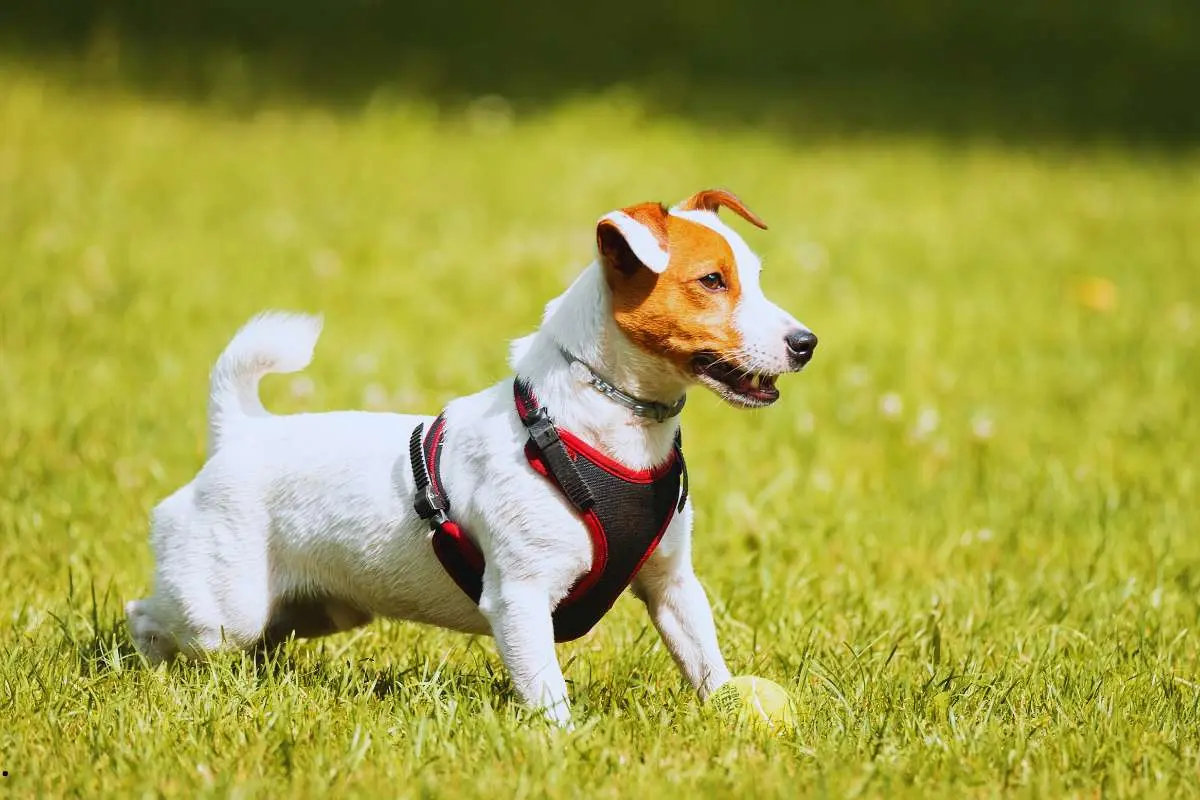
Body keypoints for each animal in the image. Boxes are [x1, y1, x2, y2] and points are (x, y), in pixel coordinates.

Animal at [129, 189, 816, 724]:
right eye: (712, 281)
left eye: (755, 277)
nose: (806, 342)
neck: (598, 429)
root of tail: (240, 431)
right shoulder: (520, 598)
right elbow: (546, 690)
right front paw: (563, 745)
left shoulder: (672, 586)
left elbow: (705, 660)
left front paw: (732, 711)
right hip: (224, 606)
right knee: (150, 617)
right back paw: (149, 671)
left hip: (316, 609)